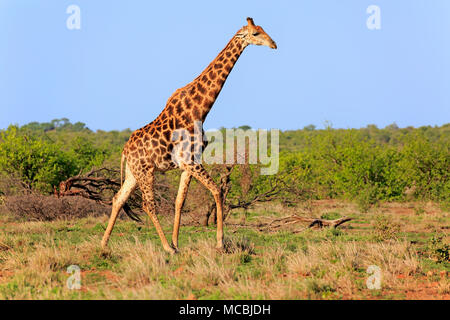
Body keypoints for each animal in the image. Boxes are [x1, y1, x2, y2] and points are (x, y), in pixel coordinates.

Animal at [101, 17, 278, 254]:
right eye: (256, 34)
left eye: (263, 29)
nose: (274, 44)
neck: (200, 109)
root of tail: (124, 151)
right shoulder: (190, 161)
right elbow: (217, 190)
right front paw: (219, 243)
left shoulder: (189, 163)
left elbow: (179, 201)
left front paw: (178, 242)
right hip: (145, 171)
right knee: (148, 204)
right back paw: (166, 248)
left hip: (133, 172)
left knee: (118, 198)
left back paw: (103, 245)